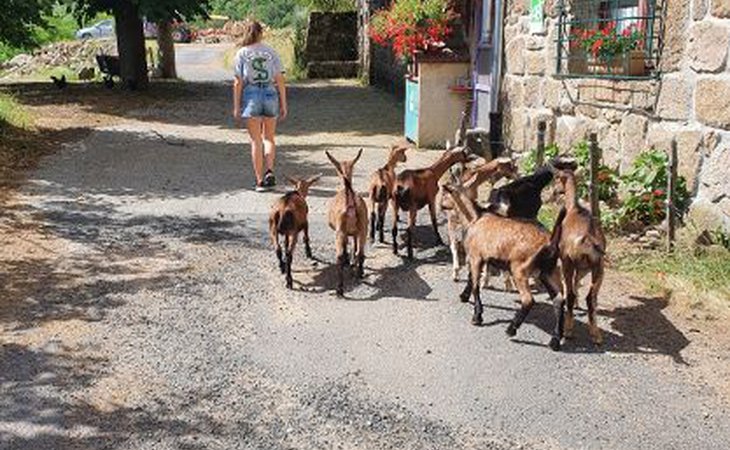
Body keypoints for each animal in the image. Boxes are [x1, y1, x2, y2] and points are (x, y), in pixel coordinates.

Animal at [326, 149, 370, 296]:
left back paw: (339, 289)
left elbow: (346, 247)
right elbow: (355, 247)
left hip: (339, 232)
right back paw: (360, 273)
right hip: (363, 229)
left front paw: (347, 260)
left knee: (339, 256)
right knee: (360, 253)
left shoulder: (342, 232)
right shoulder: (355, 232)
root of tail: (351, 203)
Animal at [440, 183, 564, 352]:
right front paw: (464, 297)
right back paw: (555, 341)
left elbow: (475, 285)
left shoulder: (475, 257)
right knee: (559, 300)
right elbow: (472, 279)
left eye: (444, 194)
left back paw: (511, 329)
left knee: (528, 299)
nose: (440, 206)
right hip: (549, 272)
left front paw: (477, 316)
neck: (474, 219)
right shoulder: (480, 258)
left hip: (520, 269)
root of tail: (550, 242)